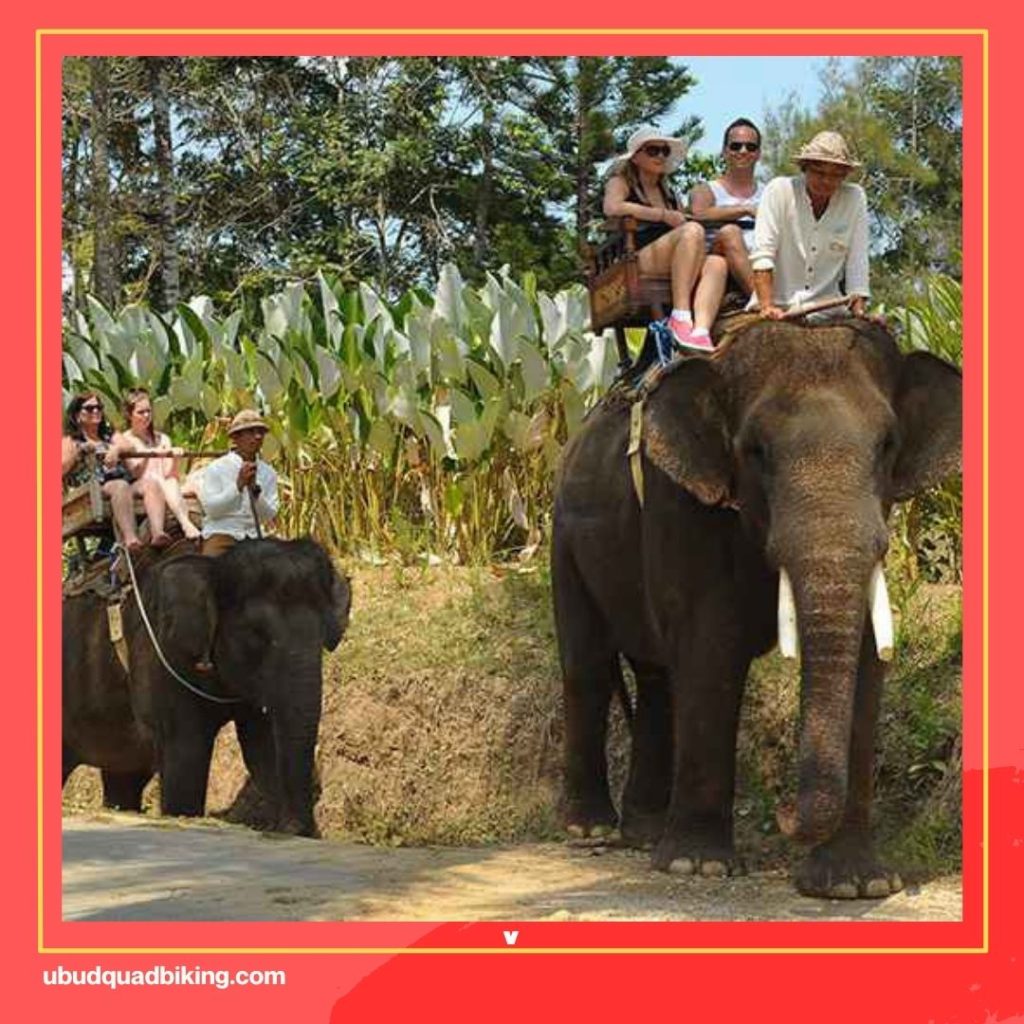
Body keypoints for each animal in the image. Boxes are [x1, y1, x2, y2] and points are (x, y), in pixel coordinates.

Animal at [65, 540, 352, 835]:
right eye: (256, 634)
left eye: (325, 634)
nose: (295, 828)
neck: (215, 563)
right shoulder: (161, 656)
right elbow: (187, 753)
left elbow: (262, 749)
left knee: (124, 779)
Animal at [552, 319, 958, 897]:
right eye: (756, 450)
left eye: (887, 446)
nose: (784, 810)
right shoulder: (683, 505)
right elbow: (711, 649)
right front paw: (697, 867)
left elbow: (864, 657)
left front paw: (856, 885)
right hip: (563, 536)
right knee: (587, 665)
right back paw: (590, 830)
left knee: (655, 676)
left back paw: (644, 833)